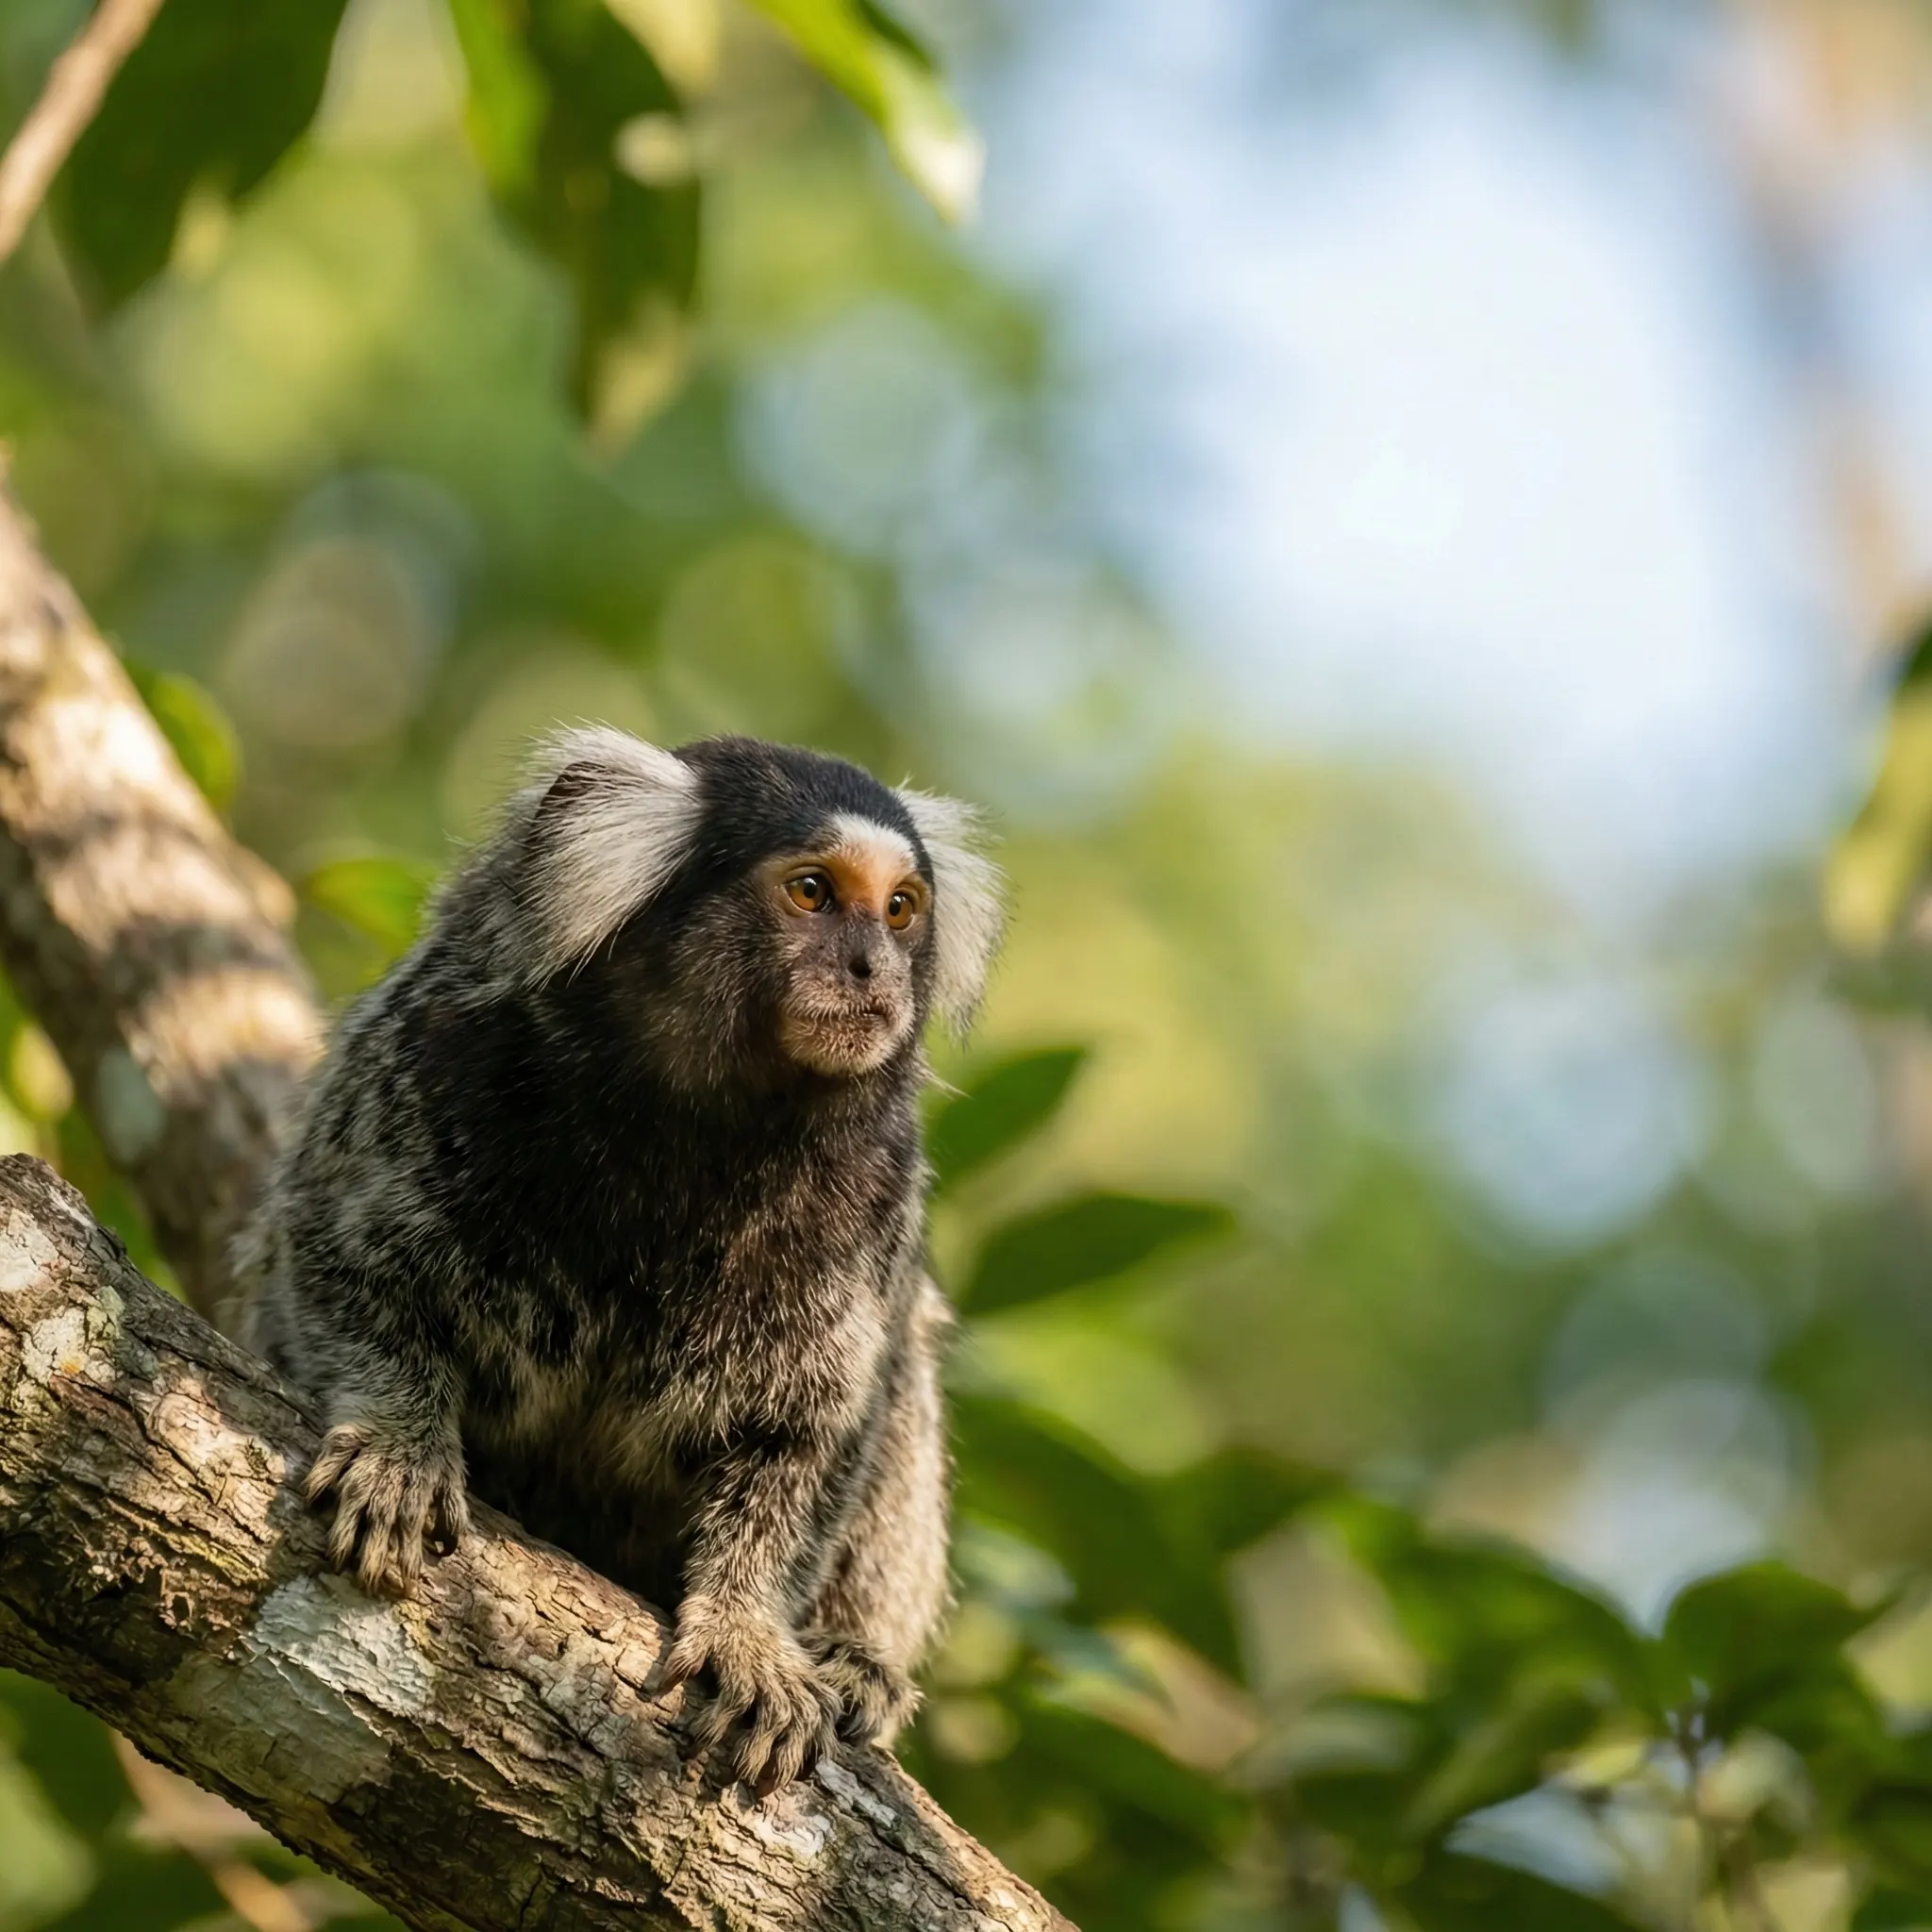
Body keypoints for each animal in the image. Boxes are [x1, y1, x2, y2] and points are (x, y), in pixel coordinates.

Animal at [234, 729, 1004, 1794]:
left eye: (900, 909)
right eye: (811, 891)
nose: (871, 970)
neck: (696, 1121)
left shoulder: (875, 1190)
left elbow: (813, 1434)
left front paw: (750, 1626)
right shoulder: (431, 1052)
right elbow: (340, 1256)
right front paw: (397, 1443)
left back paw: (856, 1663)